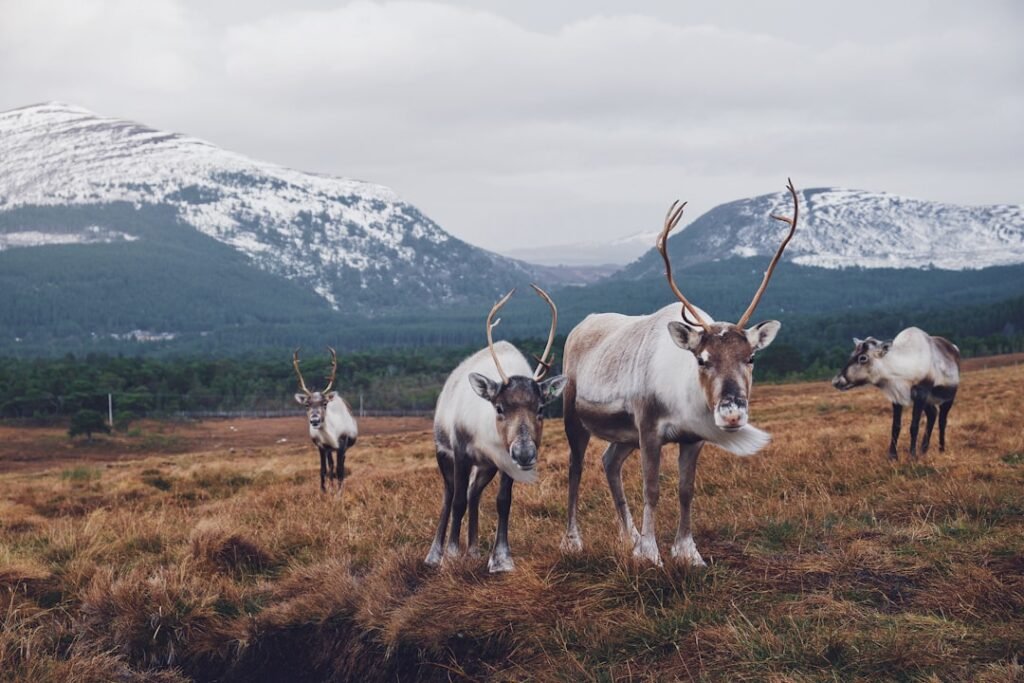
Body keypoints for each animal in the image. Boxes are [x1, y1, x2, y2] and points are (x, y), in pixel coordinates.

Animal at [293, 347, 358, 493]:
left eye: (324, 403)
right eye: (307, 404)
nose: (315, 420)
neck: (331, 434)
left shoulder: (342, 444)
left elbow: (340, 470)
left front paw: (340, 492)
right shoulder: (322, 446)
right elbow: (323, 470)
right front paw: (324, 491)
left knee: (340, 465)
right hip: (329, 451)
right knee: (331, 466)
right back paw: (331, 486)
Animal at [426, 285, 567, 573]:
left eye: (541, 408)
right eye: (499, 407)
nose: (524, 453)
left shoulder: (503, 461)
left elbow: (503, 502)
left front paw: (501, 559)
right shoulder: (460, 453)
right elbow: (457, 502)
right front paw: (451, 555)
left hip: (485, 467)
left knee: (473, 494)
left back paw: (473, 551)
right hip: (442, 453)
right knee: (450, 495)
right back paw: (435, 554)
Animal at [560, 179, 799, 567]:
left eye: (751, 358)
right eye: (701, 359)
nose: (732, 412)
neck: (681, 400)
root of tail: (581, 325)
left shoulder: (692, 437)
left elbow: (686, 490)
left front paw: (688, 552)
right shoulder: (648, 428)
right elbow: (652, 488)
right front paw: (650, 554)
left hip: (624, 435)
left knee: (609, 461)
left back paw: (629, 537)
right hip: (574, 415)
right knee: (575, 468)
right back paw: (573, 541)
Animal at [832, 329, 960, 460]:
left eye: (863, 358)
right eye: (852, 354)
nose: (836, 381)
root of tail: (954, 348)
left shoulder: (920, 393)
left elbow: (914, 426)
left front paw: (912, 455)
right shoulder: (897, 397)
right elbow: (895, 426)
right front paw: (892, 456)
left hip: (948, 397)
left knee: (942, 420)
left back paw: (941, 449)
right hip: (929, 401)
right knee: (933, 413)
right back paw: (923, 450)